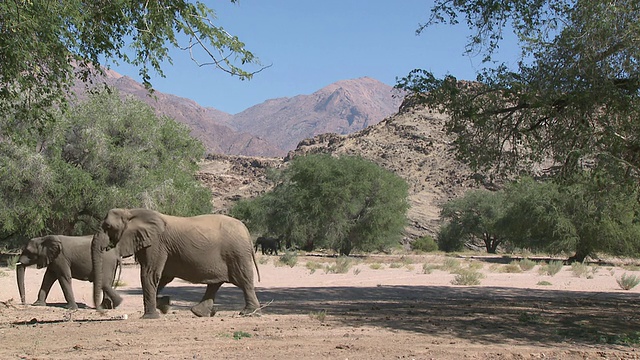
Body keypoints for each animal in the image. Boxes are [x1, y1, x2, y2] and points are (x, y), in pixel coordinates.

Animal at [90, 210, 260, 320]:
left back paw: (248, 313)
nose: (102, 311)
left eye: (108, 227)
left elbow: (150, 274)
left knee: (244, 281)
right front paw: (164, 305)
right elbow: (162, 277)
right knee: (215, 283)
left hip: (237, 253)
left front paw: (151, 316)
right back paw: (200, 313)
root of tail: (246, 230)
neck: (130, 212)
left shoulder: (156, 244)